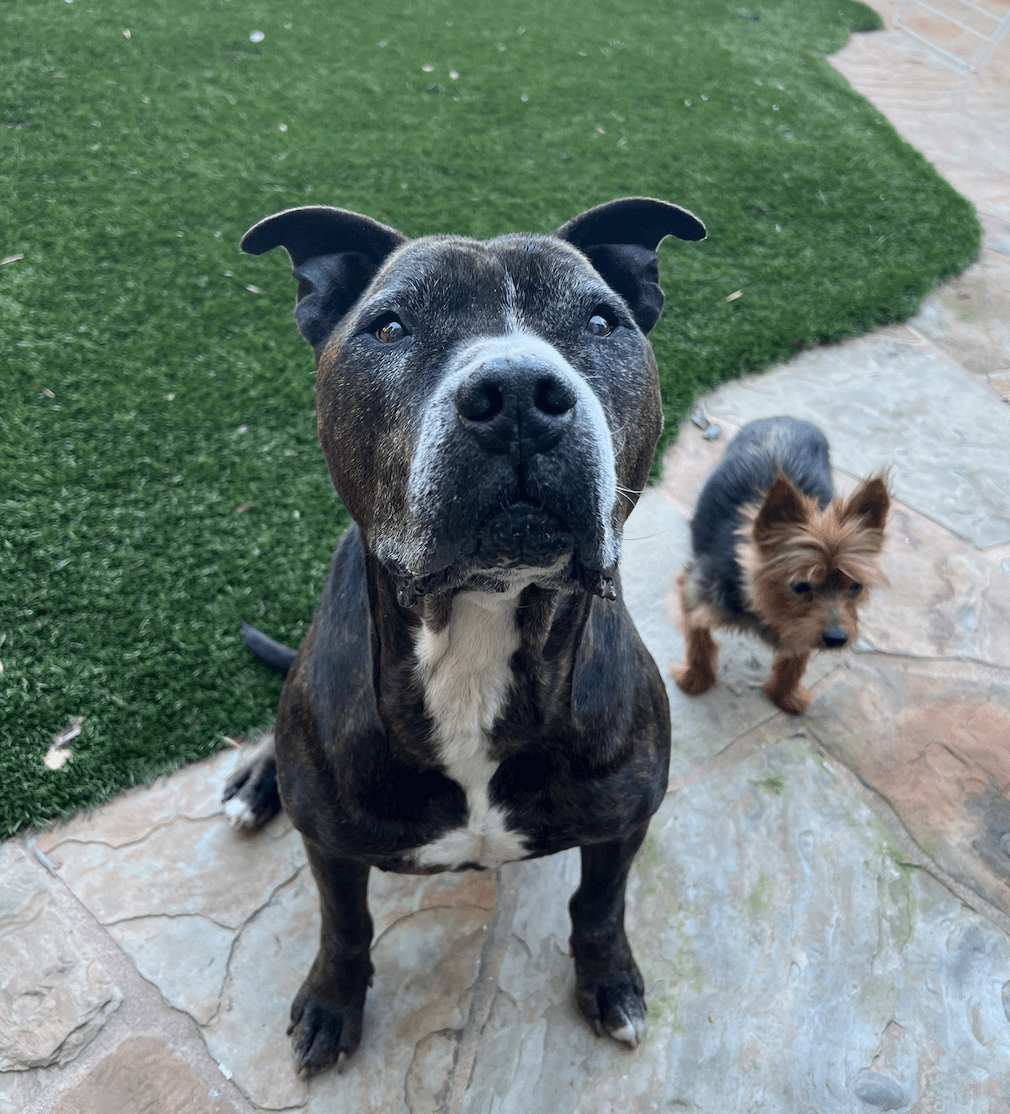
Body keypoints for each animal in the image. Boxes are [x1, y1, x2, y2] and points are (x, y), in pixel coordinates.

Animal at [224, 196, 708, 1073]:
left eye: (600, 320)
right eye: (390, 327)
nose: (517, 392)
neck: (478, 633)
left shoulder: (624, 820)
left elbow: (600, 905)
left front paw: (609, 981)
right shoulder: (331, 848)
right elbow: (344, 925)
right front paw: (332, 1005)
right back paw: (256, 782)